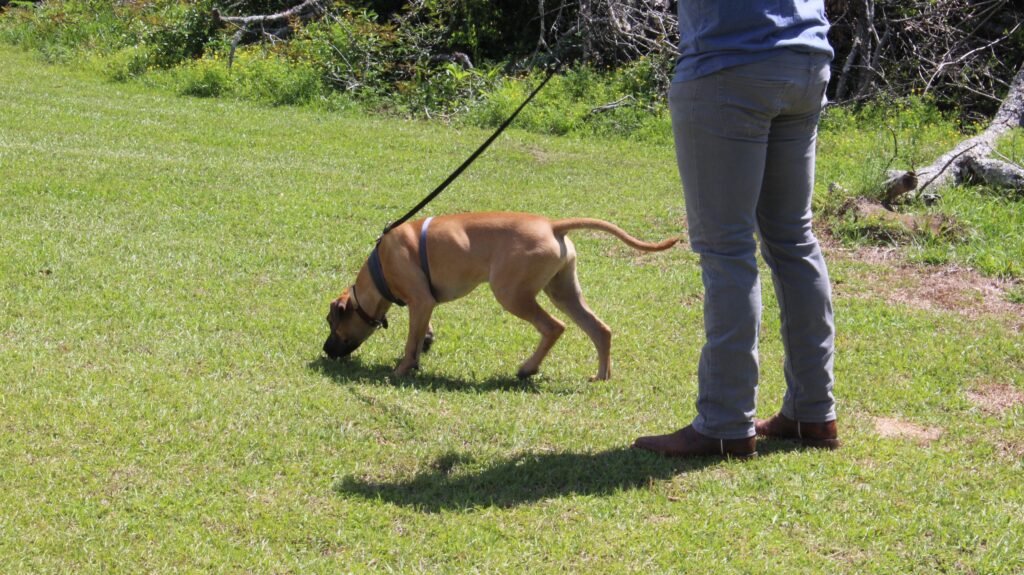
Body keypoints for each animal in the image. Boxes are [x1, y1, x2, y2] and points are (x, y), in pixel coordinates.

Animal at [323, 212, 675, 378]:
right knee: (600, 329)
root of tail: (552, 225)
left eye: (331, 323)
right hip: (564, 291)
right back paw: (601, 376)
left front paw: (400, 371)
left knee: (553, 327)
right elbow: (420, 332)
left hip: (511, 293)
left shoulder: (420, 301)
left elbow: (410, 344)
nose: (326, 350)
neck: (380, 269)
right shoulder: (423, 305)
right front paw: (424, 345)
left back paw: (528, 369)